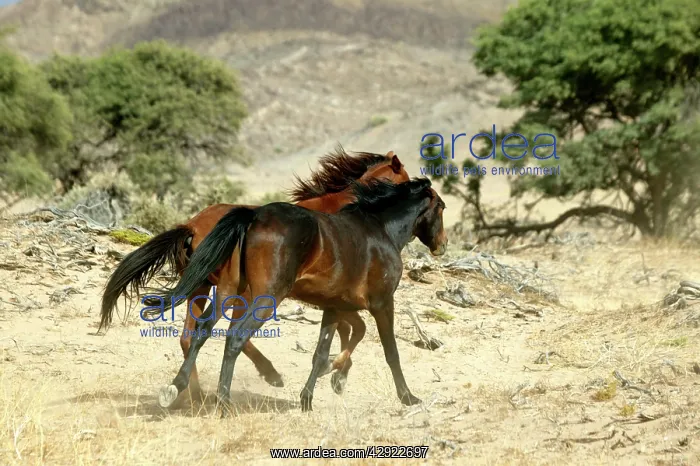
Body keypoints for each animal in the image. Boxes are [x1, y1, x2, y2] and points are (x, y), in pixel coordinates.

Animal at [98, 147, 410, 402]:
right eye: (404, 177)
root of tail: (192, 225)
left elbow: (349, 329)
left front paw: (336, 373)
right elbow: (354, 329)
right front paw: (336, 373)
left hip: (203, 287)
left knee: (191, 336)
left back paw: (191, 395)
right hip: (244, 292)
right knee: (232, 333)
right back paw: (268, 375)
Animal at [155, 177, 448, 412]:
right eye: (442, 208)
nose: (442, 245)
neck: (381, 229)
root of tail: (253, 217)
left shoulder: (334, 307)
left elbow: (321, 352)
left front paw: (309, 397)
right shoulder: (383, 303)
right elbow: (391, 352)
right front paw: (408, 397)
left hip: (227, 291)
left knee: (201, 330)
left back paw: (176, 388)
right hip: (264, 298)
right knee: (235, 337)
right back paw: (225, 400)